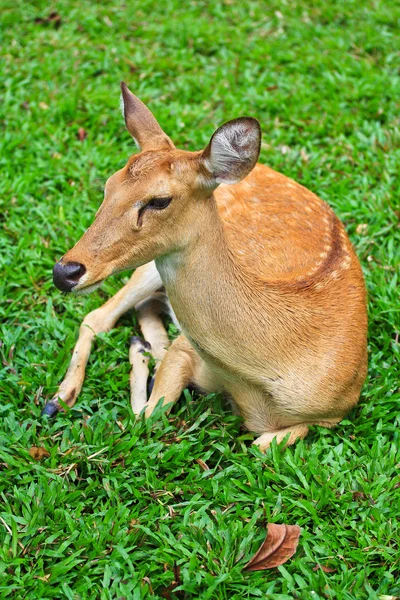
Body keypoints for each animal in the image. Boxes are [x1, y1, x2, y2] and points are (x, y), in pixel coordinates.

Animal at [42, 83, 368, 450]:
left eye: (160, 200)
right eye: (108, 185)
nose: (64, 272)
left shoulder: (338, 409)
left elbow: (261, 446)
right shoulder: (188, 350)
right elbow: (145, 418)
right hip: (147, 268)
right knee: (100, 316)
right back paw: (60, 398)